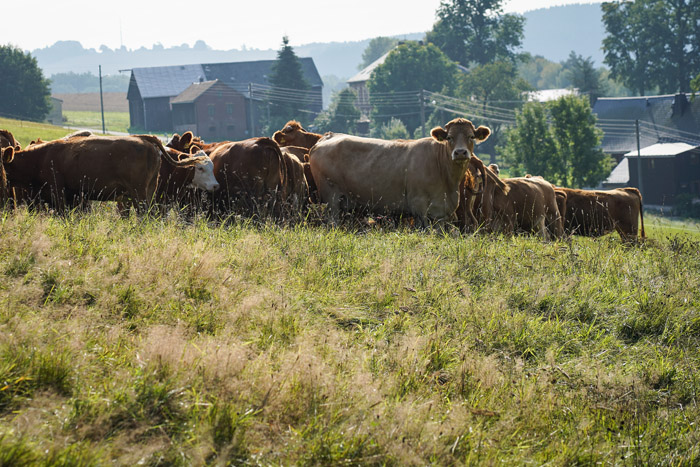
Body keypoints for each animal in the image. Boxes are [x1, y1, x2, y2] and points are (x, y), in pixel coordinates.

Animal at [306, 117, 492, 227]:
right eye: (449, 137)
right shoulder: (419, 207)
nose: (460, 152)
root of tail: (327, 137)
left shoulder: (442, 213)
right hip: (331, 199)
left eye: (471, 136)